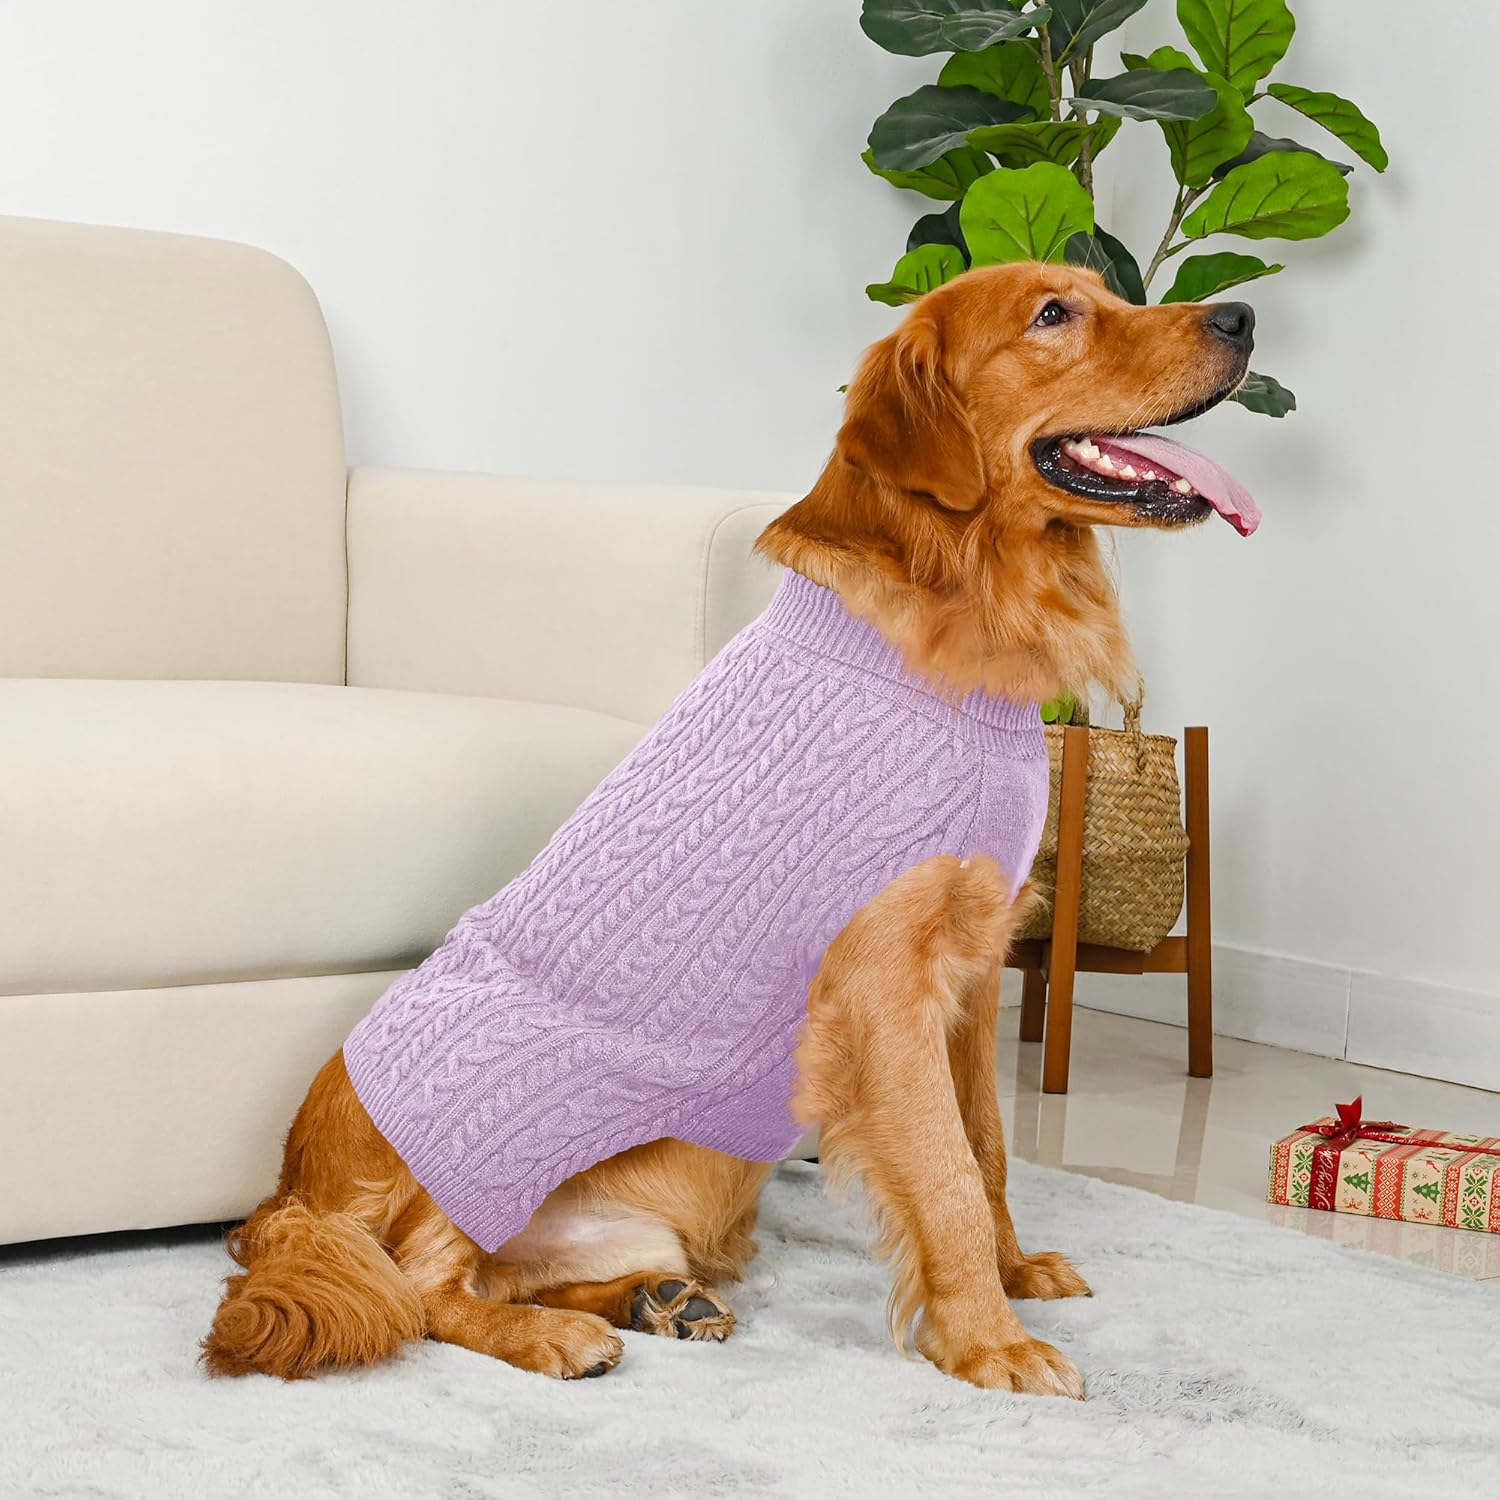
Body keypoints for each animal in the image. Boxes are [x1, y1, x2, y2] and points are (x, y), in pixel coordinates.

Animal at [203, 262, 1255, 1398]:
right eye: (1053, 315)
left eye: (1105, 289)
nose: (1243, 315)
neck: (967, 605)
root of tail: (290, 1187)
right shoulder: (886, 987)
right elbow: (945, 1177)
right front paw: (994, 1344)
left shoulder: (976, 972)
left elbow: (987, 1149)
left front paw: (1015, 1278)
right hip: (483, 1145)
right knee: (420, 1289)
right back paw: (555, 1337)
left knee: (507, 1275)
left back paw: (654, 1299)